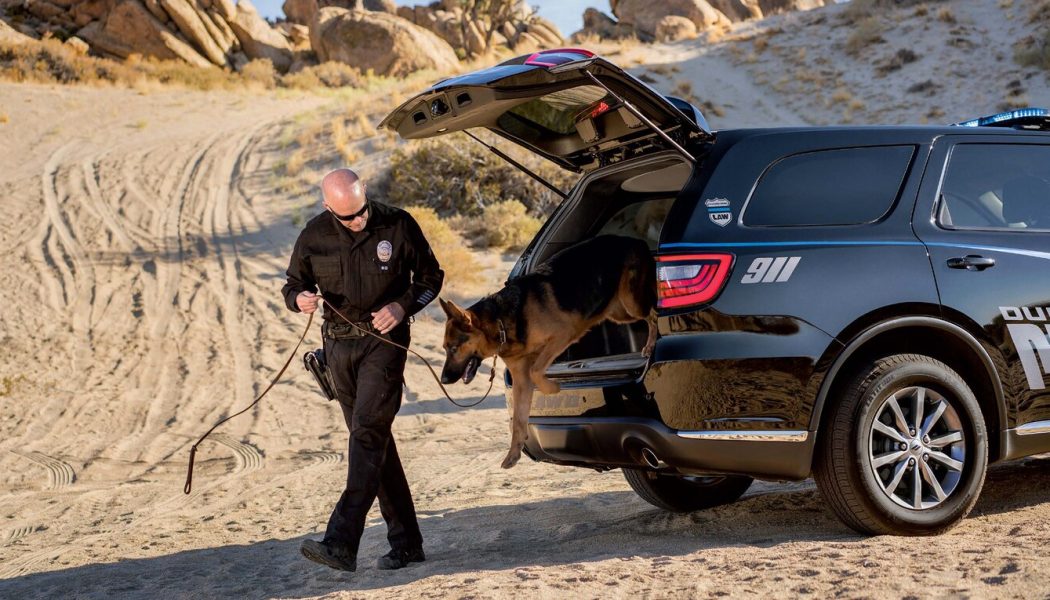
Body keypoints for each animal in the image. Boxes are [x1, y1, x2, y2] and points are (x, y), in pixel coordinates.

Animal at [436, 234, 651, 468]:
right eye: (445, 348)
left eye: (454, 348)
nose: (444, 380)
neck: (501, 322)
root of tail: (632, 239)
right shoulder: (521, 380)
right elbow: (519, 420)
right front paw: (513, 455)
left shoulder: (561, 336)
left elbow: (536, 371)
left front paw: (552, 388)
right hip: (619, 313)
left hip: (631, 305)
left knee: (654, 313)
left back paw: (651, 345)